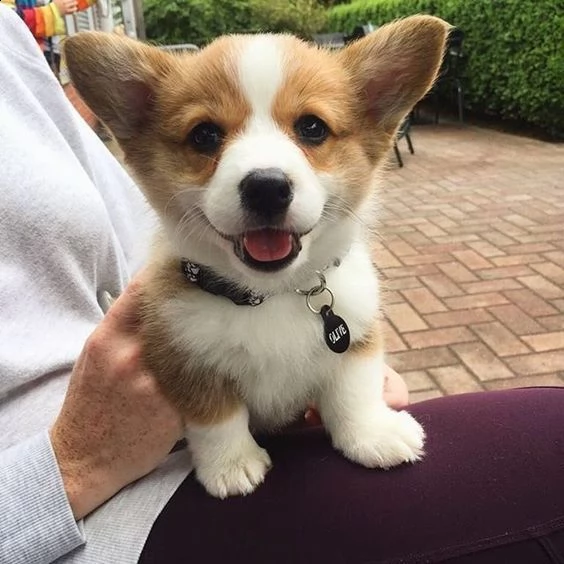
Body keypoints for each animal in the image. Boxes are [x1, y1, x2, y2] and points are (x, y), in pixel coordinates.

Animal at [62, 16, 450, 498]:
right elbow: (217, 417)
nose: (266, 186)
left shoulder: (357, 333)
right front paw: (231, 467)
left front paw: (372, 434)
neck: (272, 295)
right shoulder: (182, 354)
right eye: (204, 135)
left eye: (312, 128)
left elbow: (353, 391)